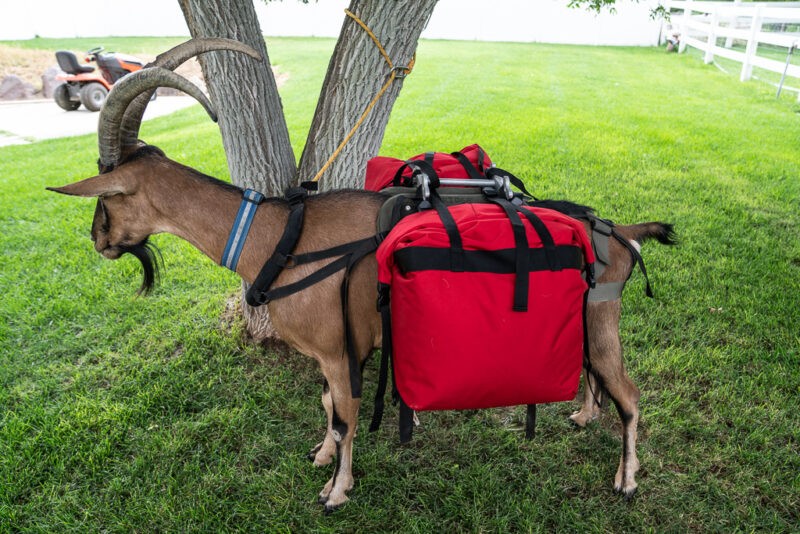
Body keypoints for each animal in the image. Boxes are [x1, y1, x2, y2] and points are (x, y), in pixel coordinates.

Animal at [48, 38, 676, 516]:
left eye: (108, 197)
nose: (99, 241)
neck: (277, 236)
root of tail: (619, 231)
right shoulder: (337, 347)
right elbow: (330, 409)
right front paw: (323, 457)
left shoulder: (334, 348)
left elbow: (347, 415)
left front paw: (336, 491)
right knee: (595, 378)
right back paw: (584, 414)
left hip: (602, 318)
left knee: (631, 396)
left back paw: (626, 480)